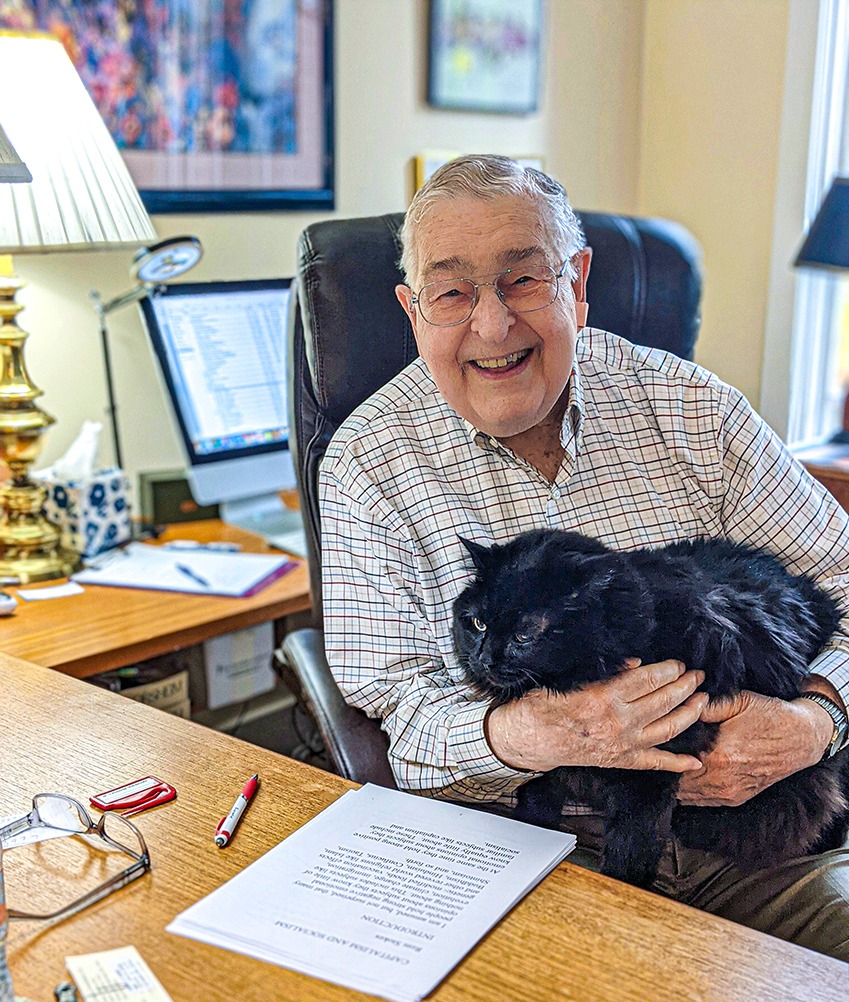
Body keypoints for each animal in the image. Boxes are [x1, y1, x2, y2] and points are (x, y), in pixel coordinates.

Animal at [455, 529, 849, 889]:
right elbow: (539, 799)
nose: (483, 659)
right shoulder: (557, 758)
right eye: (478, 623)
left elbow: (633, 844)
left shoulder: (648, 776)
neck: (641, 630)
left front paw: (623, 886)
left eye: (524, 635)